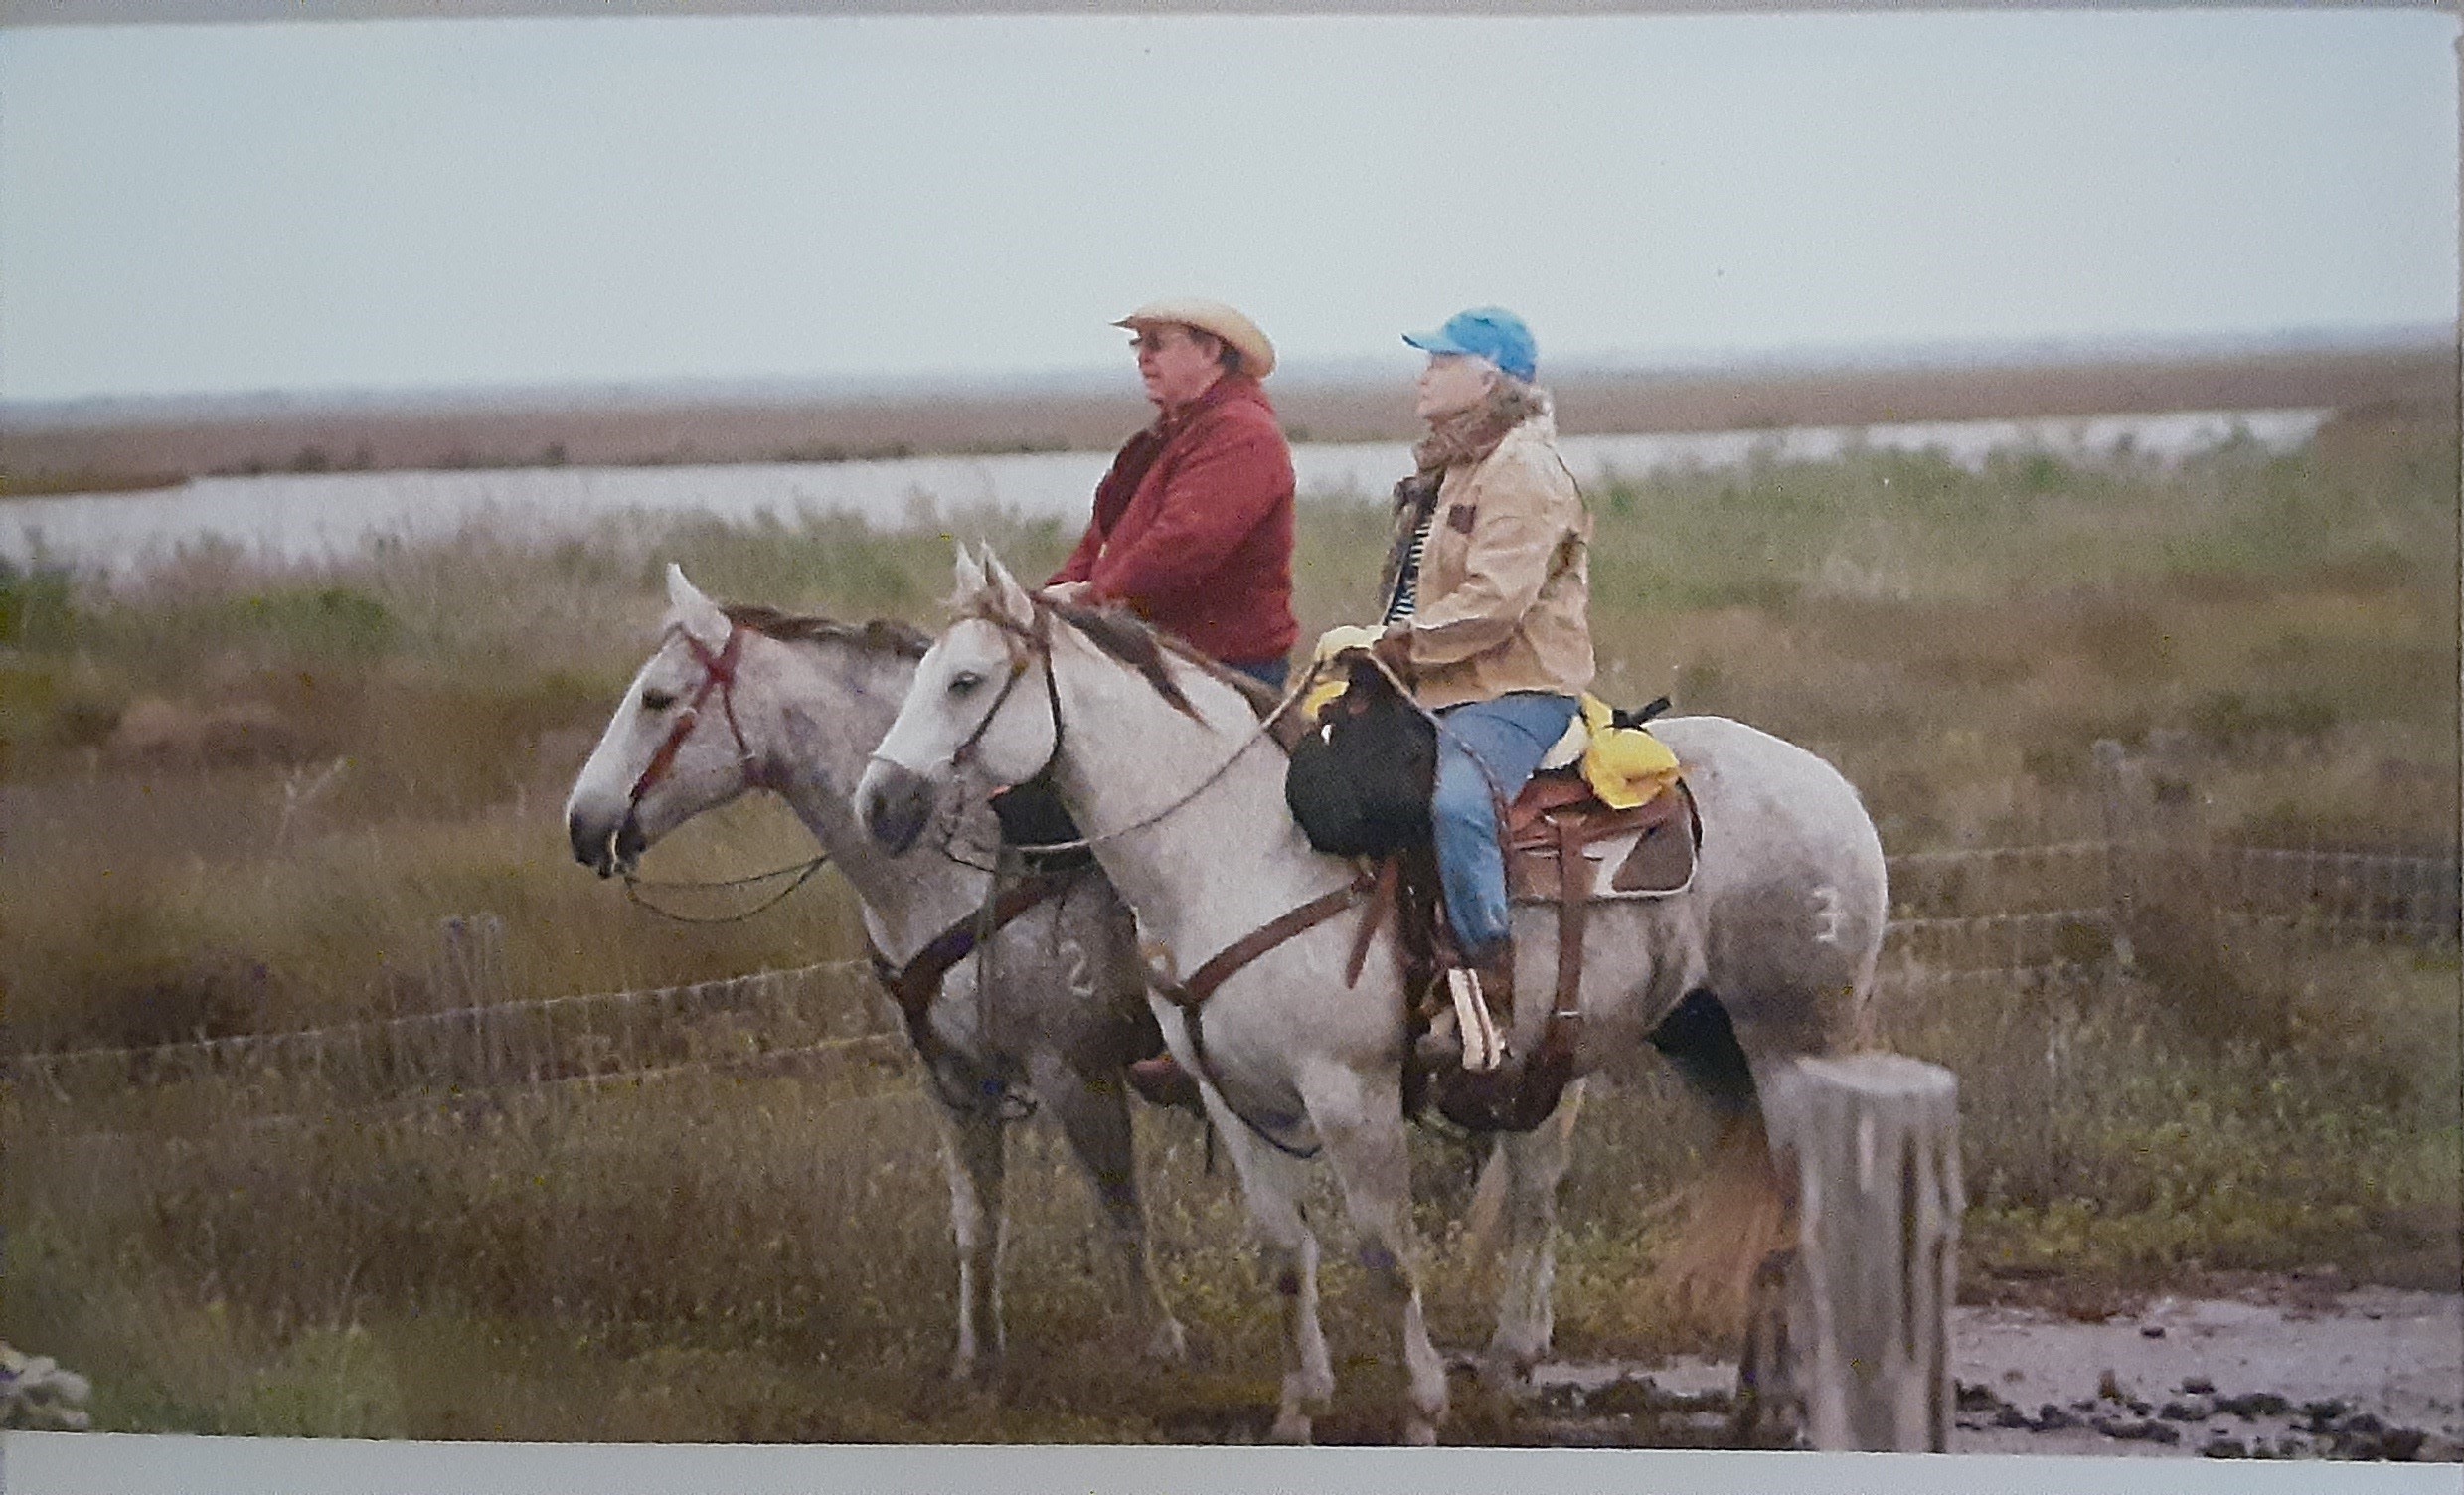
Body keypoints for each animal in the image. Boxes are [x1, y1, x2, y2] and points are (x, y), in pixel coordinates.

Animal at [569, 566, 1202, 1389]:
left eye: (656, 698)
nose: (582, 824)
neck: (971, 855)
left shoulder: (1074, 1070)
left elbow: (1121, 1206)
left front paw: (1162, 1347)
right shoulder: (954, 1076)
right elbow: (976, 1224)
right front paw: (975, 1361)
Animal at [852, 552, 1882, 1447]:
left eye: (965, 681)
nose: (878, 803)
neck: (1235, 852)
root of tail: (1831, 787)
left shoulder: (1349, 1091)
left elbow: (1387, 1258)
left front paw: (1421, 1412)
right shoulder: (1236, 1100)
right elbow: (1284, 1255)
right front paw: (1297, 1412)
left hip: (1793, 1037)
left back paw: (1785, 1403)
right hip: (1705, 1045)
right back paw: (1747, 1398)